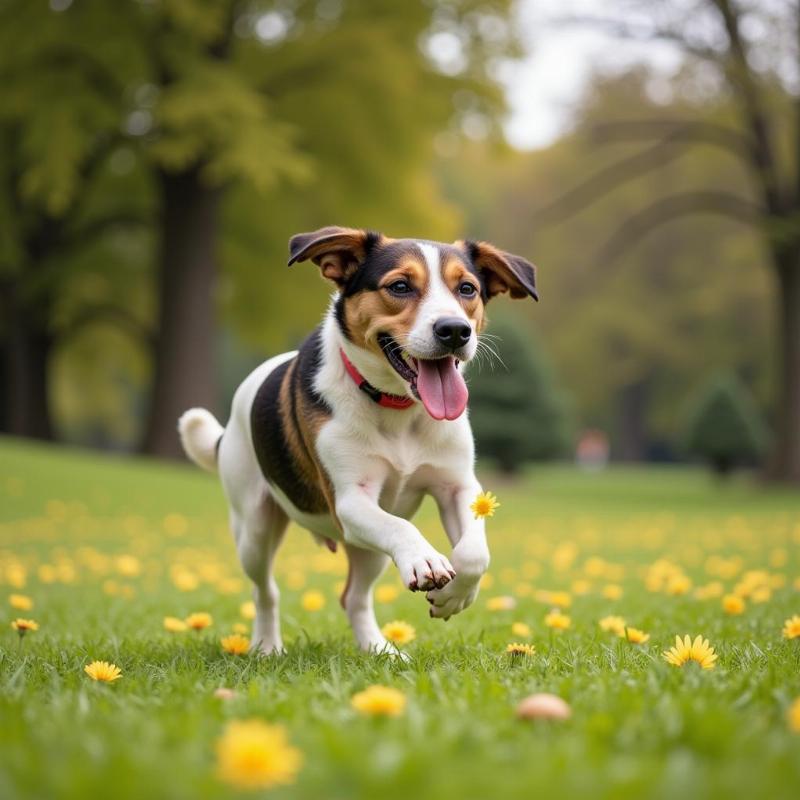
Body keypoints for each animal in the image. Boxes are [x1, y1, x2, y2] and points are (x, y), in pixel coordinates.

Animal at [177, 228, 536, 652]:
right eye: (400, 286)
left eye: (467, 288)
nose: (454, 330)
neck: (399, 408)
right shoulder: (349, 500)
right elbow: (403, 529)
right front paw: (427, 561)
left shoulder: (459, 486)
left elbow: (474, 553)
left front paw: (452, 597)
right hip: (254, 528)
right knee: (265, 592)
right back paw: (266, 646)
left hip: (368, 551)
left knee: (354, 597)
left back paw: (380, 651)